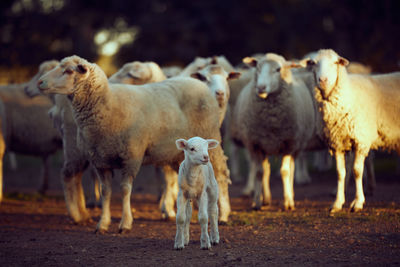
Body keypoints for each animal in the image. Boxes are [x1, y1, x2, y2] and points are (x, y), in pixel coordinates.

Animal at [37, 55, 231, 233]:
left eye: (69, 71)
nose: (40, 82)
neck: (107, 104)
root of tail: (199, 85)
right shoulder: (100, 160)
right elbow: (106, 191)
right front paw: (103, 223)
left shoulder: (131, 157)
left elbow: (125, 190)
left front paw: (125, 223)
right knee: (70, 174)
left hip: (208, 139)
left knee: (220, 175)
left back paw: (222, 215)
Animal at [230, 52, 324, 211]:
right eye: (258, 68)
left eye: (278, 70)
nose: (261, 87)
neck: (271, 121)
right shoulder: (256, 144)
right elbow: (260, 172)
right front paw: (257, 202)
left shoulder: (289, 143)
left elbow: (285, 172)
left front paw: (287, 202)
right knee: (266, 169)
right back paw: (266, 199)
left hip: (297, 146)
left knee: (291, 169)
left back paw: (291, 196)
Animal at [306, 48, 400, 214]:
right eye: (314, 63)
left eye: (335, 63)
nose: (322, 80)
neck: (348, 97)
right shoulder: (336, 142)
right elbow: (340, 172)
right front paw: (337, 203)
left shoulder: (361, 140)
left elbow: (357, 171)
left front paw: (358, 203)